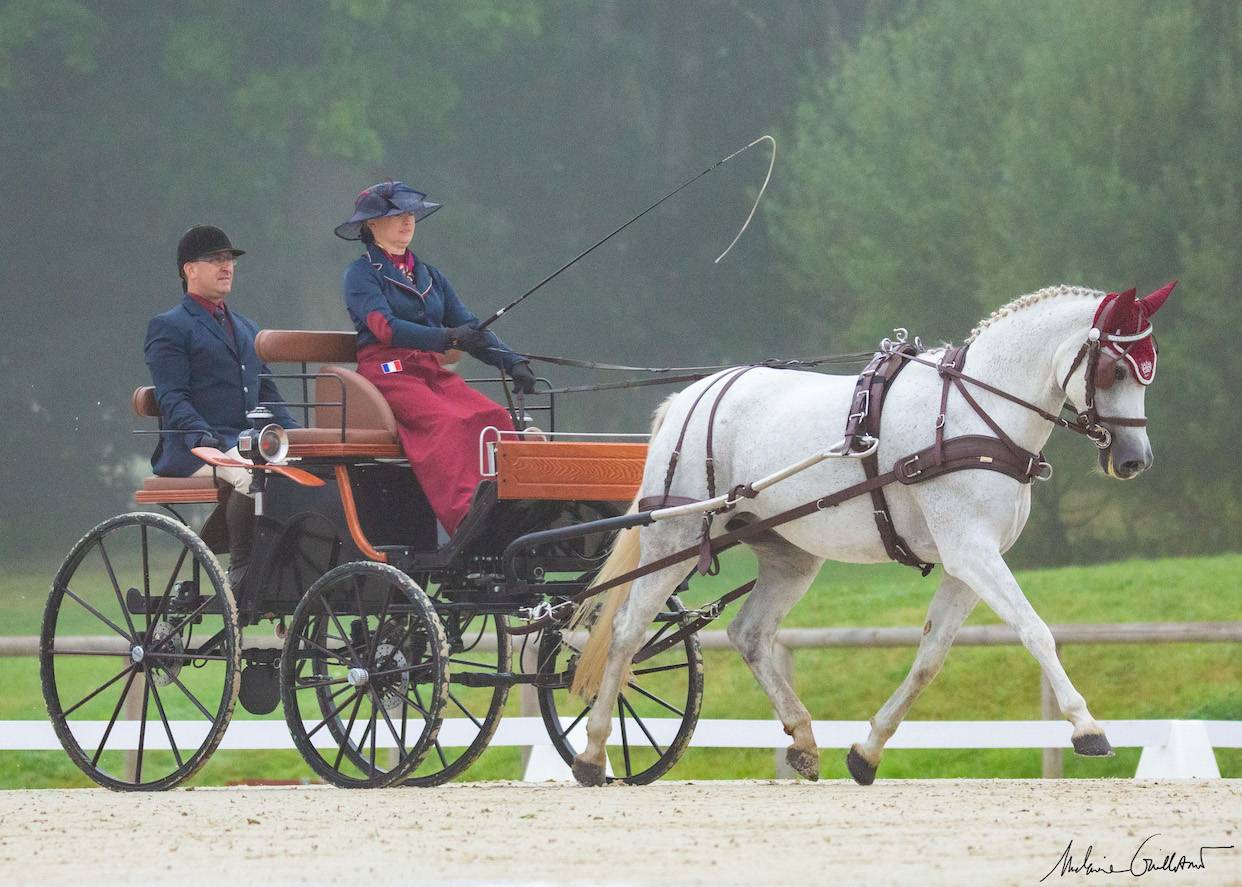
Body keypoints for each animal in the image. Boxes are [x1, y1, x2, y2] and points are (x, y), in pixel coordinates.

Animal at [568, 282, 1176, 786]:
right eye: (1114, 372)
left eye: (1150, 372)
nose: (1135, 460)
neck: (976, 411)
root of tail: (690, 396)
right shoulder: (971, 551)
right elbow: (1035, 631)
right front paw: (1087, 728)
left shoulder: (969, 562)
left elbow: (930, 656)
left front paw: (868, 750)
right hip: (675, 537)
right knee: (626, 631)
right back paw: (593, 753)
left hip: (789, 554)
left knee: (749, 634)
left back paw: (803, 740)